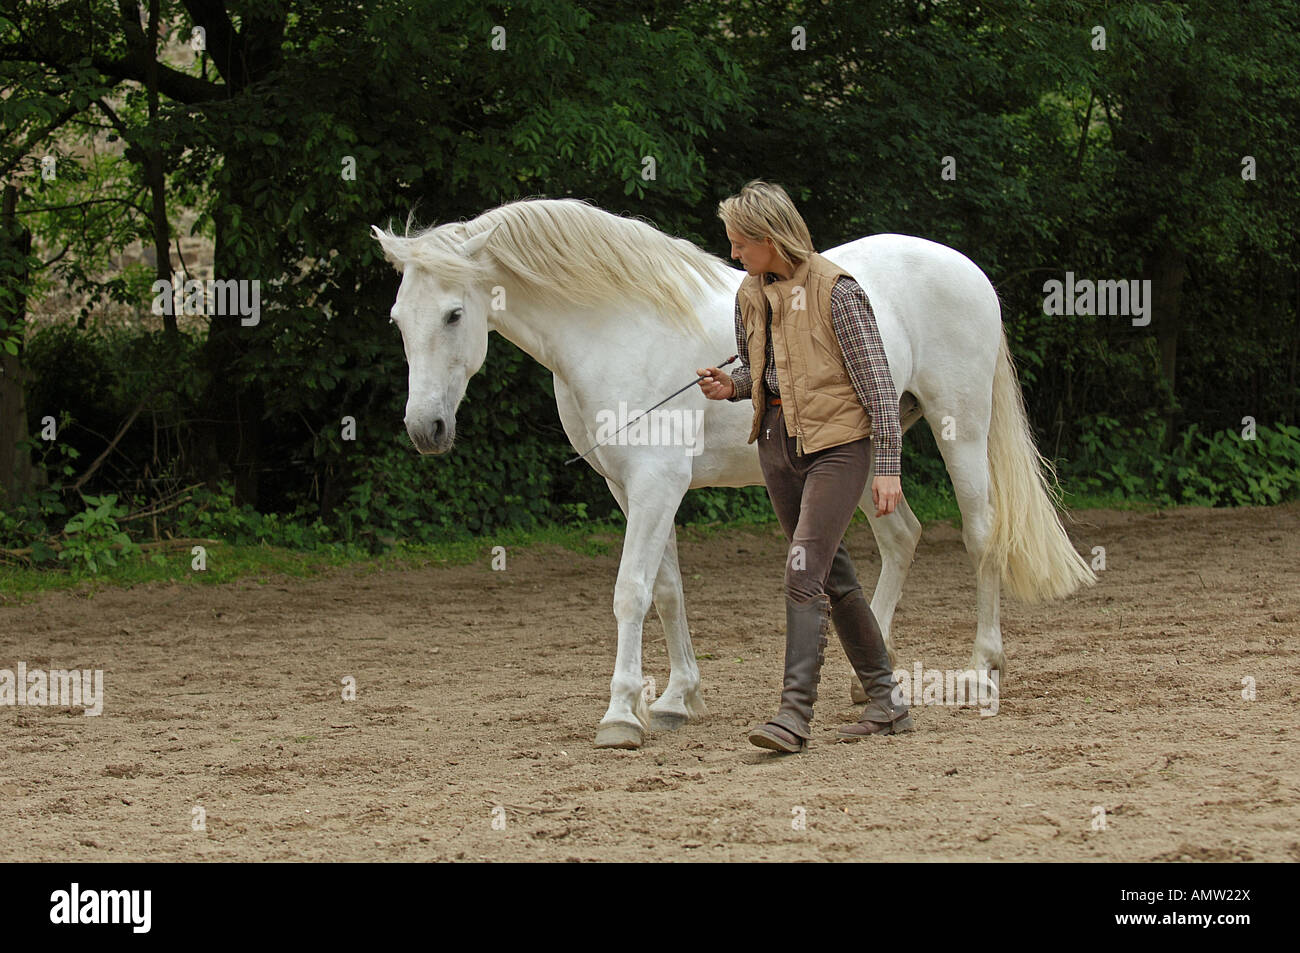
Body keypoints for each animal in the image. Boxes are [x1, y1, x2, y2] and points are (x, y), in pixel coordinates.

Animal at [377, 200, 1097, 748]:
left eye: (454, 314)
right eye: (398, 320)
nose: (425, 429)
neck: (617, 328)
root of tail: (966, 269)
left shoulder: (655, 485)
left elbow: (630, 592)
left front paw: (620, 715)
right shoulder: (632, 490)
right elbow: (667, 591)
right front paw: (674, 698)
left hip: (961, 431)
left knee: (982, 537)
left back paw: (981, 673)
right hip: (869, 455)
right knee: (902, 538)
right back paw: (871, 676)